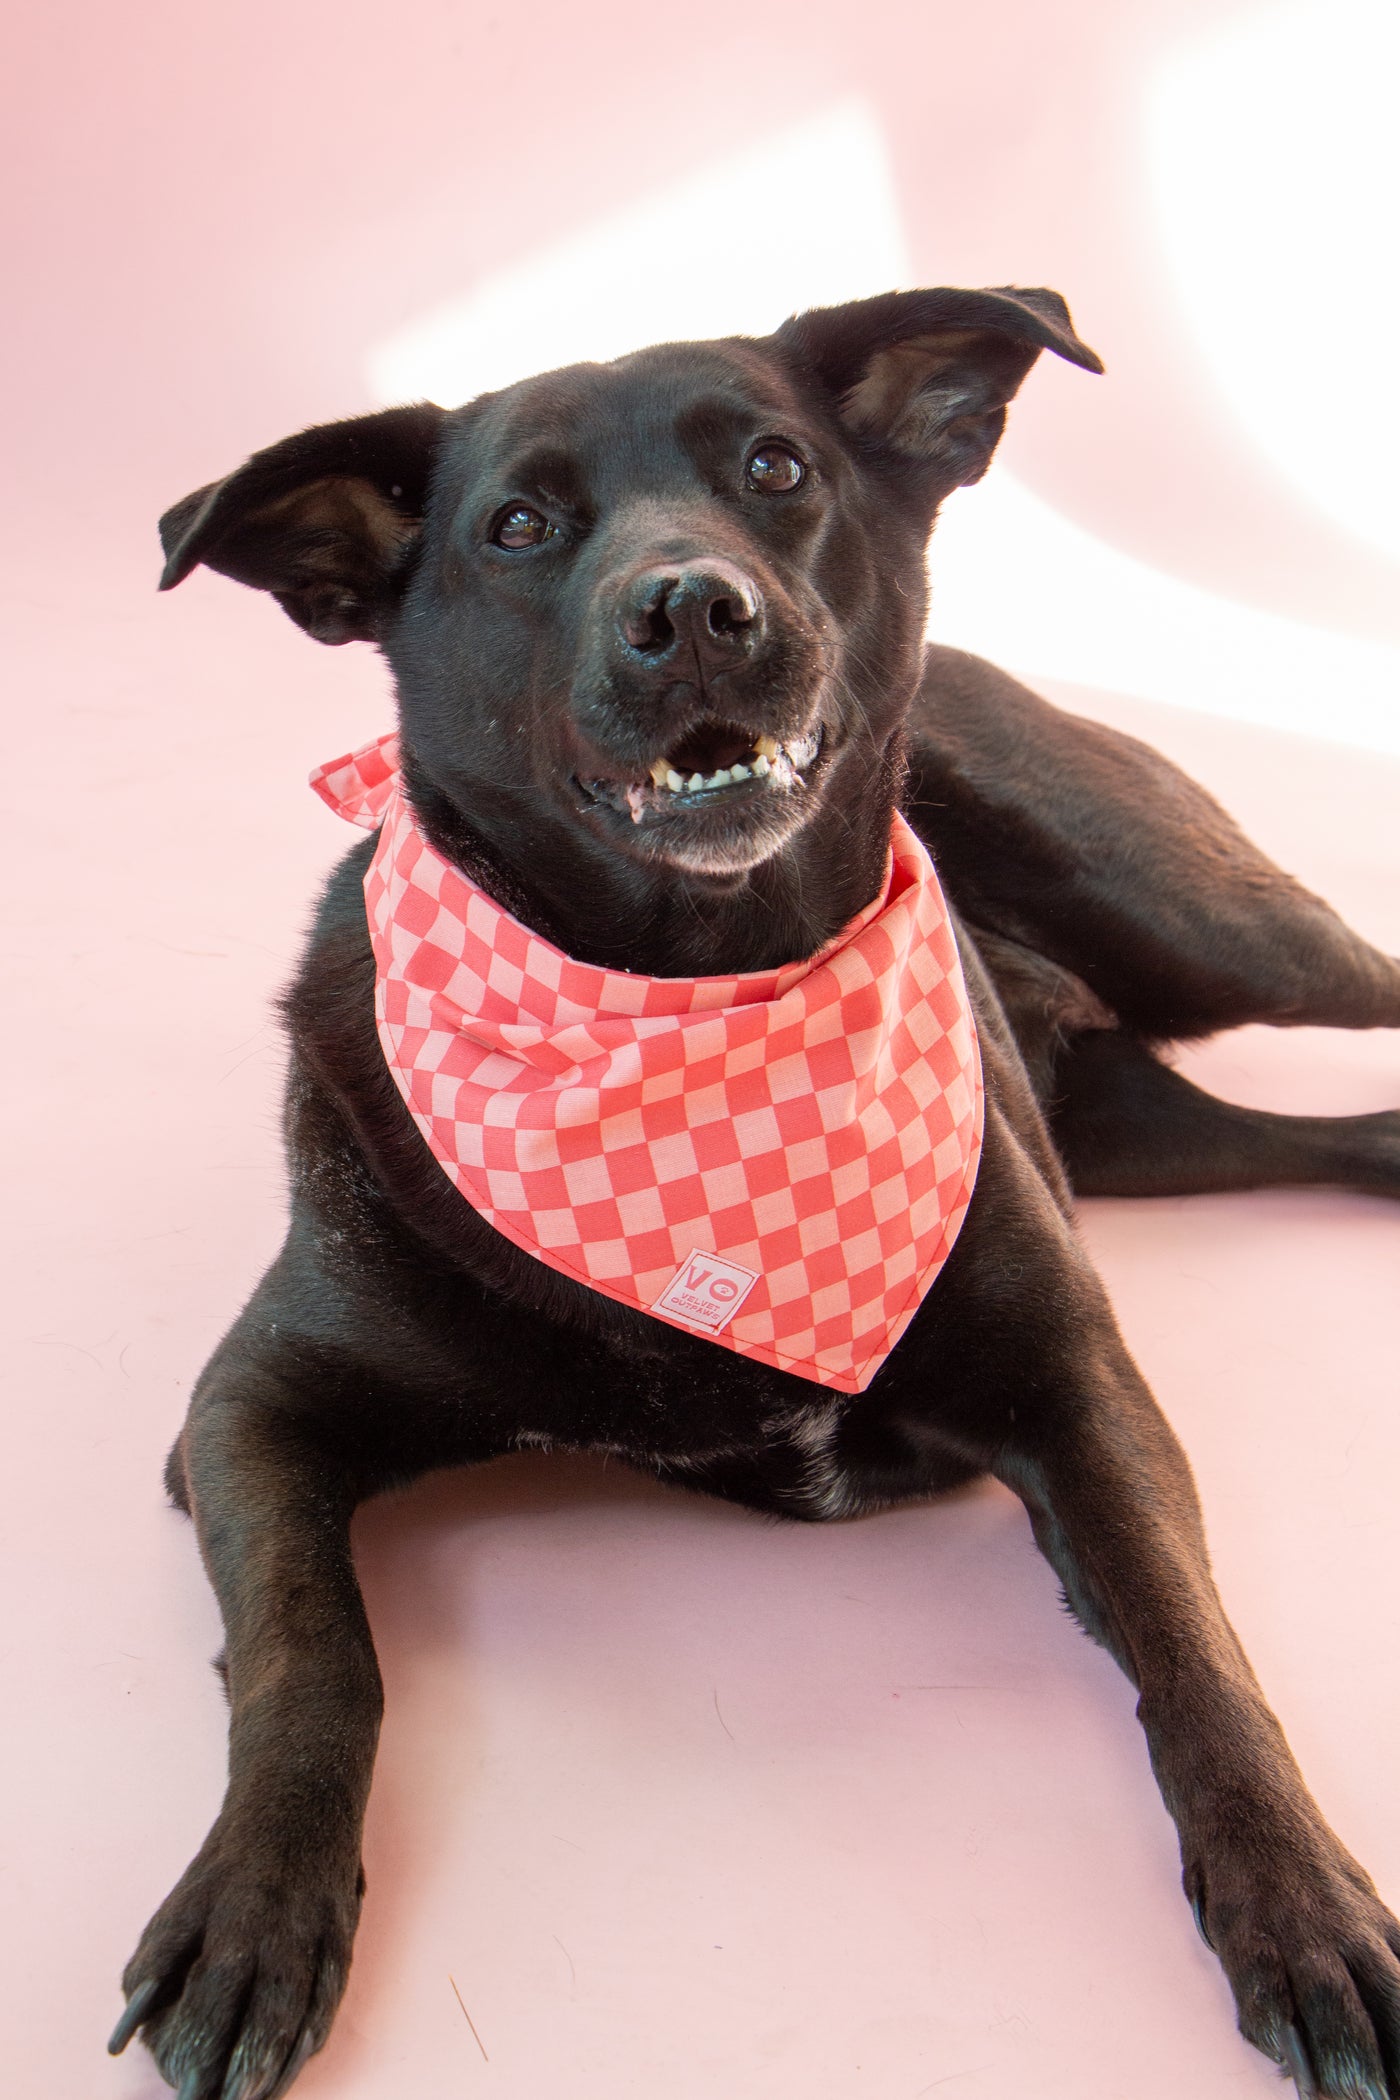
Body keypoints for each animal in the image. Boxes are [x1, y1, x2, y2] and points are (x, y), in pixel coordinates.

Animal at [109, 291, 1400, 2100]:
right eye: (518, 526)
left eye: (777, 467)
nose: (693, 612)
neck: (691, 999)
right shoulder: (248, 1408)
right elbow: (312, 1650)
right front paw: (255, 1905)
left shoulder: (1080, 1387)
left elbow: (1191, 1644)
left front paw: (1303, 1902)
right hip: (1142, 1114)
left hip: (1223, 934)